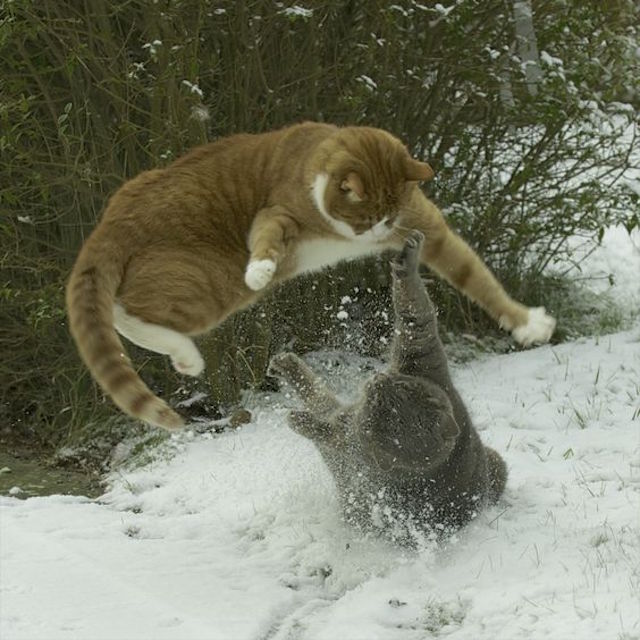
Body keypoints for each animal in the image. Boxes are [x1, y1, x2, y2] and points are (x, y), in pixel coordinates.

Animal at [66, 121, 556, 430]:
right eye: (366, 216)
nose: (379, 233)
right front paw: (261, 268)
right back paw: (188, 357)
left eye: (387, 216)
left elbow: (477, 277)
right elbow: (266, 238)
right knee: (126, 313)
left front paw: (528, 325)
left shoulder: (429, 231)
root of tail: (111, 223)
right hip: (208, 284)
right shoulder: (276, 212)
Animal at [268, 232, 508, 544]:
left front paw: (298, 417)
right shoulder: (427, 360)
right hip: (496, 460)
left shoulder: (345, 442)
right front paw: (409, 254)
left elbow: (319, 416)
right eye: (403, 387)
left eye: (384, 411)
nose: (379, 381)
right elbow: (413, 304)